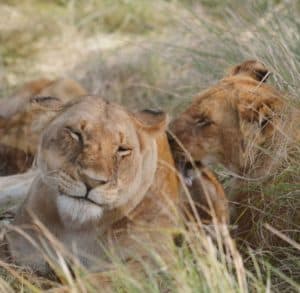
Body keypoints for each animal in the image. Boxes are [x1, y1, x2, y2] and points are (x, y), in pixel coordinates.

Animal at [2, 94, 179, 272]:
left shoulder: (156, 261)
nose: (92, 181)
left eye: (123, 149)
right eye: (75, 134)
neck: (75, 230)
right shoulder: (22, 244)